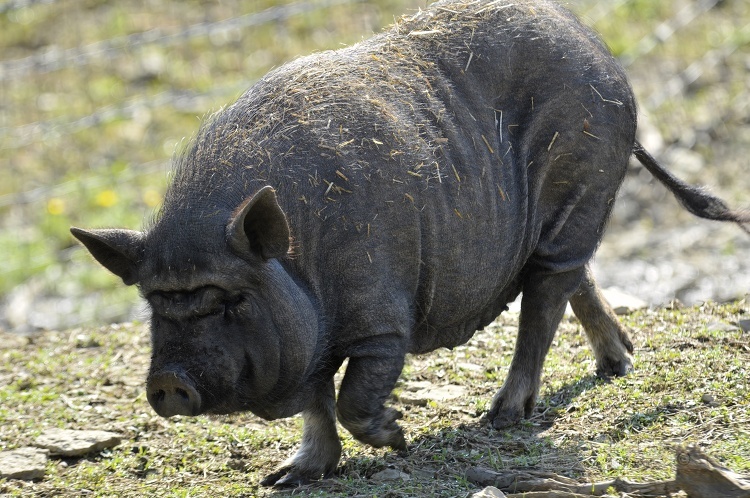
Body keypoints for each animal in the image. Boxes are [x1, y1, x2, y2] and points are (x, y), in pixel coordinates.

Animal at [70, 0, 750, 486]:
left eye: (232, 299)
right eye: (156, 304)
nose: (169, 382)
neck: (297, 259)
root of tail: (604, 53)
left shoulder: (381, 319)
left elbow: (351, 397)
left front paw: (397, 438)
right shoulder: (313, 340)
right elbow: (316, 403)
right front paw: (288, 478)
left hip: (579, 188)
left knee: (545, 300)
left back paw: (502, 416)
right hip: (559, 222)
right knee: (571, 280)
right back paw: (617, 364)